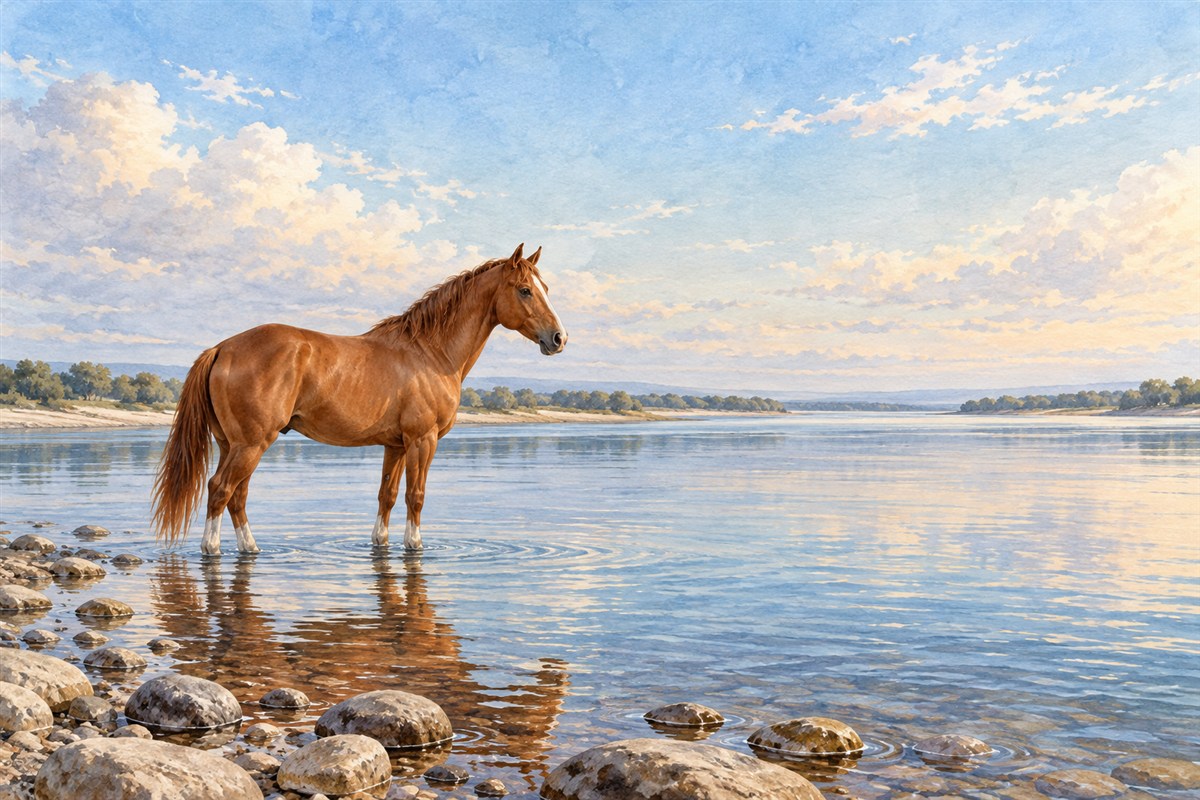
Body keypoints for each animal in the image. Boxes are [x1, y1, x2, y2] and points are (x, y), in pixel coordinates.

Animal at [151, 244, 566, 555]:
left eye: (546, 289)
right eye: (525, 289)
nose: (558, 338)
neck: (430, 353)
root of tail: (222, 348)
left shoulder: (395, 445)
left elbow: (387, 495)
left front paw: (381, 542)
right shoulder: (422, 440)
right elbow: (415, 496)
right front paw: (415, 545)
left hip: (232, 444)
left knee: (236, 496)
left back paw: (251, 548)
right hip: (251, 444)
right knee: (220, 490)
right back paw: (212, 549)